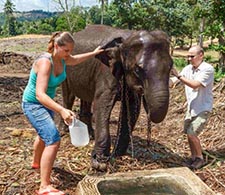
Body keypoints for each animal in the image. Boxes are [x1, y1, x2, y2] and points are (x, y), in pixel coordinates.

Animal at [60, 24, 173, 171]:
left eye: (171, 66)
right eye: (138, 69)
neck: (126, 39)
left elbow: (131, 110)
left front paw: (118, 154)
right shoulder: (106, 71)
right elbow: (101, 106)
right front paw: (100, 163)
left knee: (86, 99)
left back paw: (90, 134)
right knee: (68, 97)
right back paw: (63, 132)